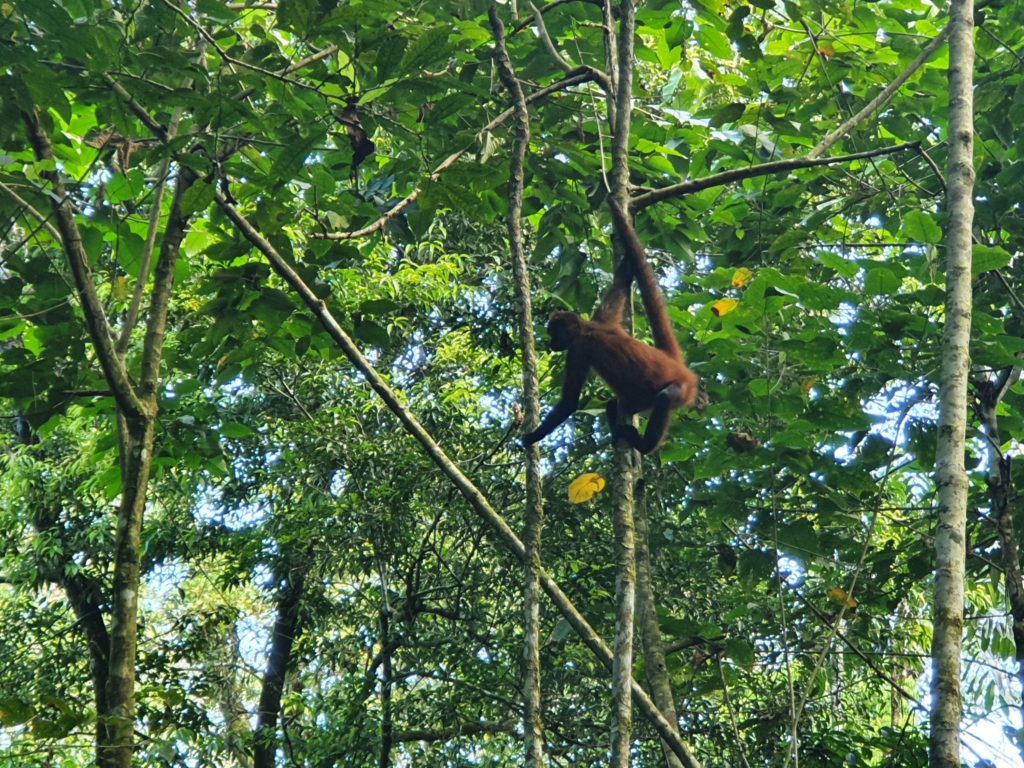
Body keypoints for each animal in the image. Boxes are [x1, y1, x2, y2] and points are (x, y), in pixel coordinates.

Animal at [524, 201, 700, 454]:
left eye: (553, 334)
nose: (550, 343)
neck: (588, 328)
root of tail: (674, 363)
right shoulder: (603, 318)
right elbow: (620, 282)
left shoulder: (578, 349)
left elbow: (569, 403)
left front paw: (531, 437)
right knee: (612, 404)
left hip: (682, 388)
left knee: (665, 398)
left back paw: (644, 446)